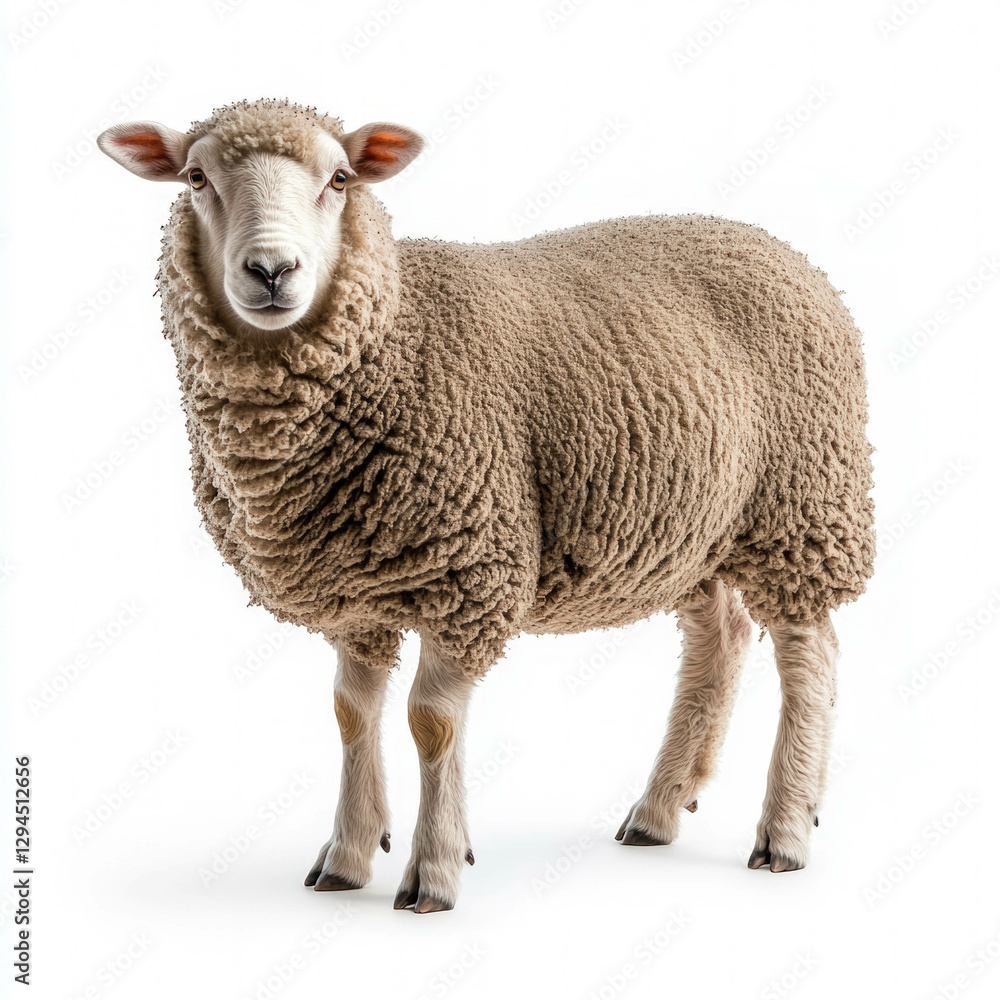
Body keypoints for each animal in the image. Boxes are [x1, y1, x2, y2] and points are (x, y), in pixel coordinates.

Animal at [98, 99, 874, 913]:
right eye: (195, 177)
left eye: (340, 179)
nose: (272, 271)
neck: (394, 336)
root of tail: (781, 248)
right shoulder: (356, 590)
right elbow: (351, 712)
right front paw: (346, 857)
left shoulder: (468, 570)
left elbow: (431, 721)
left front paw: (434, 872)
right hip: (689, 528)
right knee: (719, 640)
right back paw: (658, 810)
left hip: (803, 504)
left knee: (808, 654)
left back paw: (785, 830)